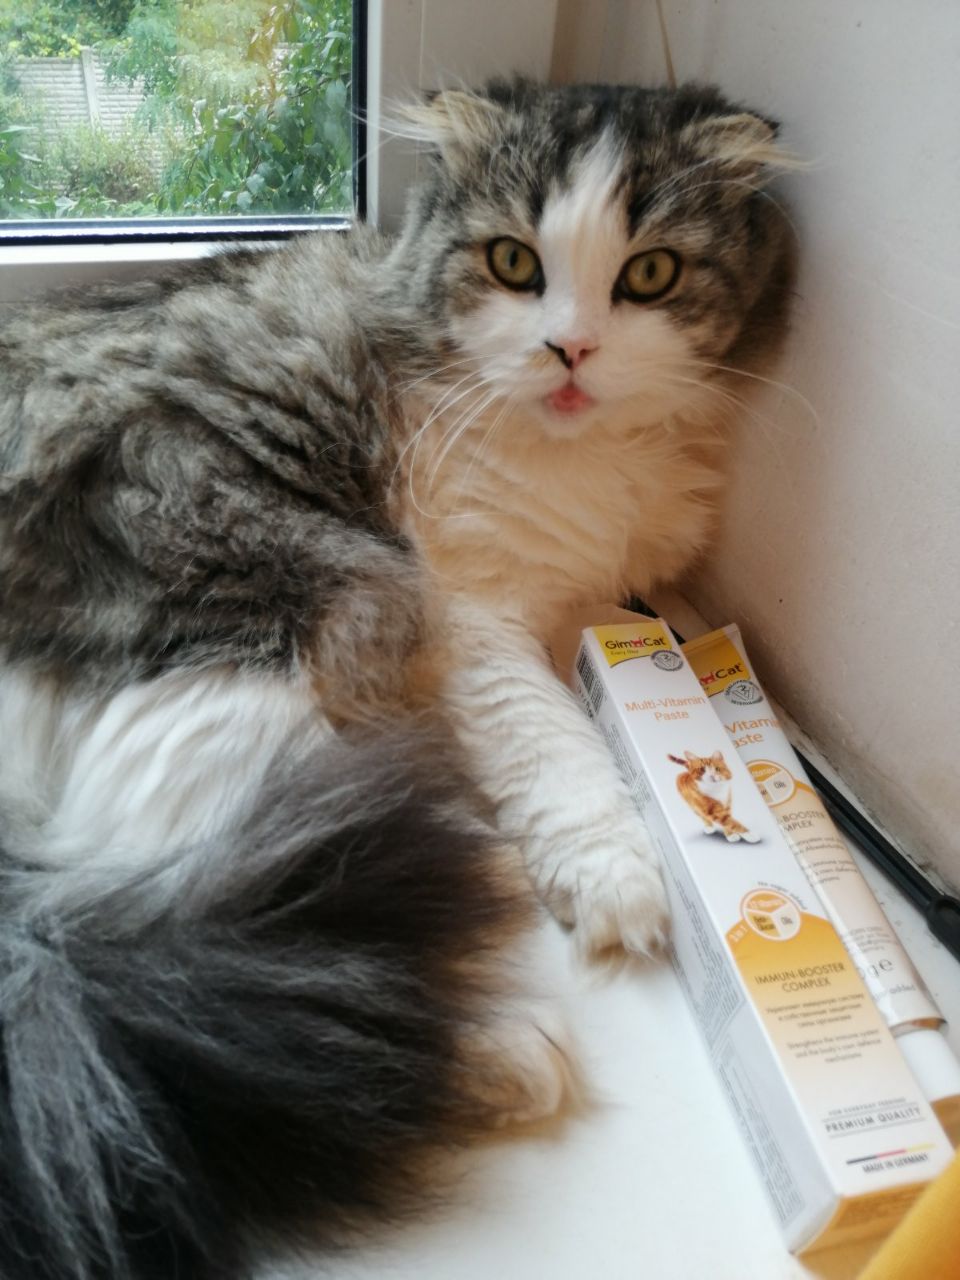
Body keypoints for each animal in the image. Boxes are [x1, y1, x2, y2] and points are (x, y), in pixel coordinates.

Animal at [0, 79, 792, 1279]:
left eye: (649, 274)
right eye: (515, 262)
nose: (570, 350)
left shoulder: (609, 596)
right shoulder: (469, 611)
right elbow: (560, 757)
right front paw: (618, 878)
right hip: (261, 635)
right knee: (215, 950)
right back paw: (490, 1045)